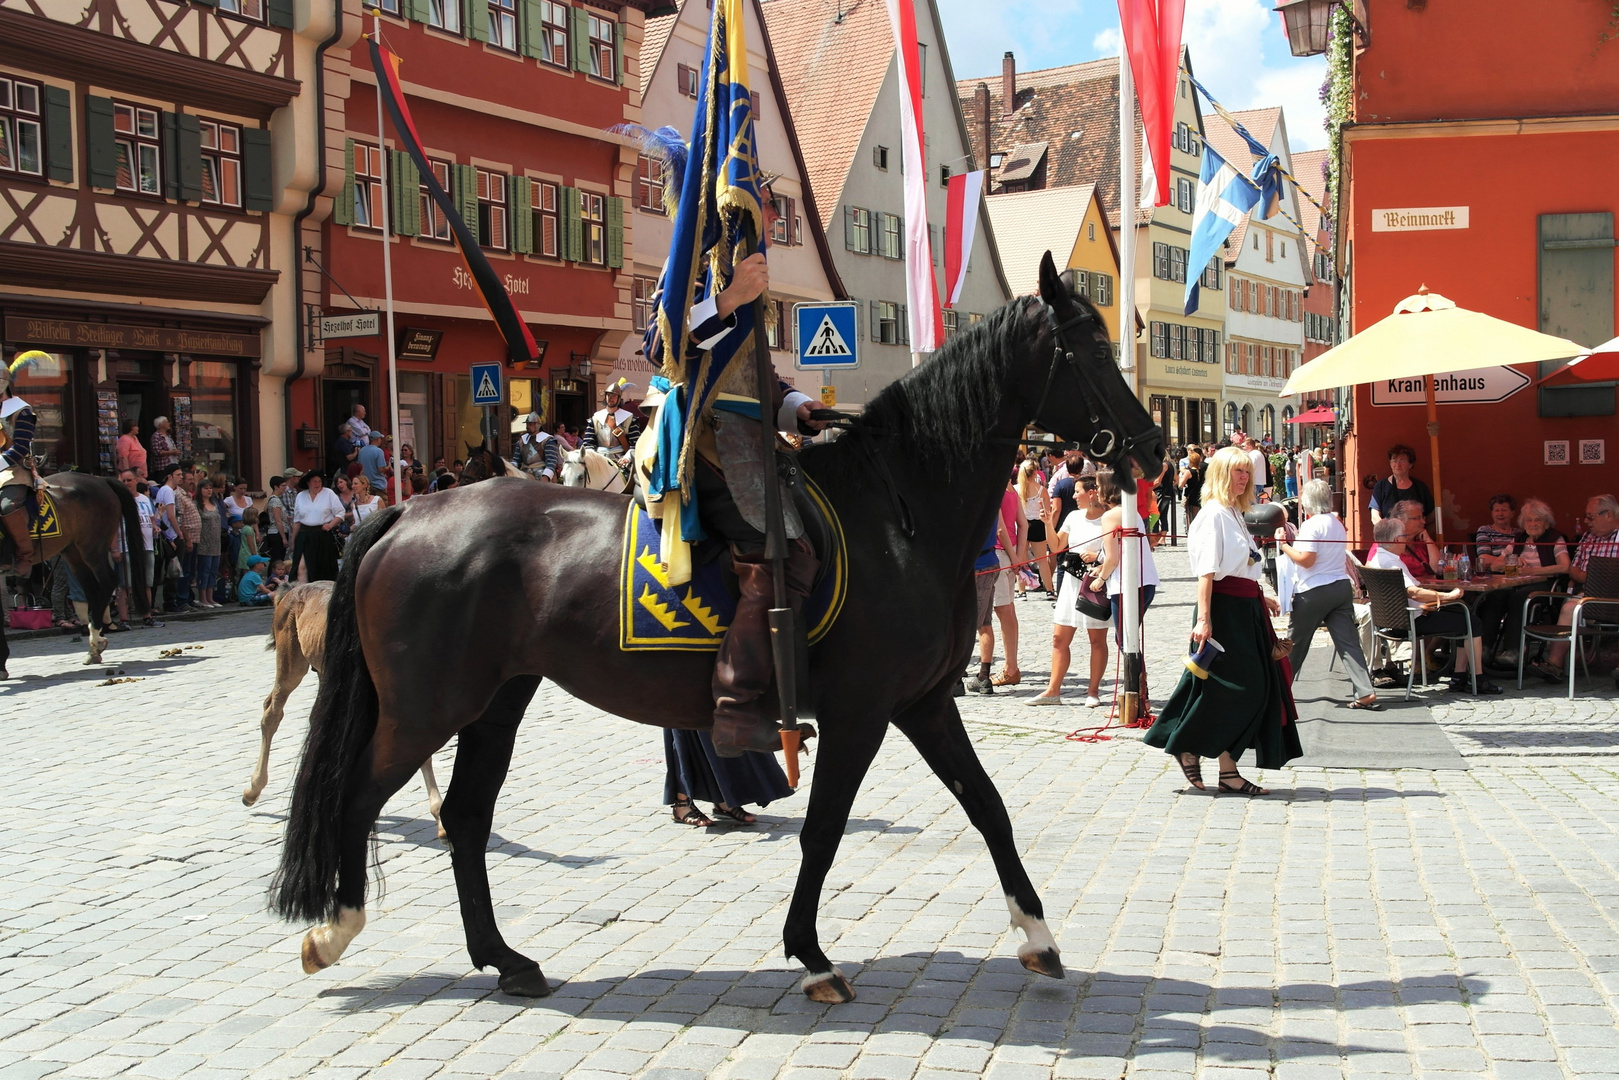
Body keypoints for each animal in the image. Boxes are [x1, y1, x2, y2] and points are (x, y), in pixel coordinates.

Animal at [0, 472, 147, 676]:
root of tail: (100, 479)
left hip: (92, 548)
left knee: (107, 582)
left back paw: (95, 639)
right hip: (73, 552)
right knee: (92, 589)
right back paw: (95, 643)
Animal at [275, 254, 1165, 1003]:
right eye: (1090, 347)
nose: (1154, 447)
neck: (898, 510)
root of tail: (409, 509)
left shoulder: (923, 705)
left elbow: (988, 808)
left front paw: (1038, 936)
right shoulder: (860, 715)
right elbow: (824, 829)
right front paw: (811, 953)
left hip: (496, 701)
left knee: (463, 817)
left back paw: (506, 959)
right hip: (427, 707)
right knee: (357, 795)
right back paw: (335, 930)